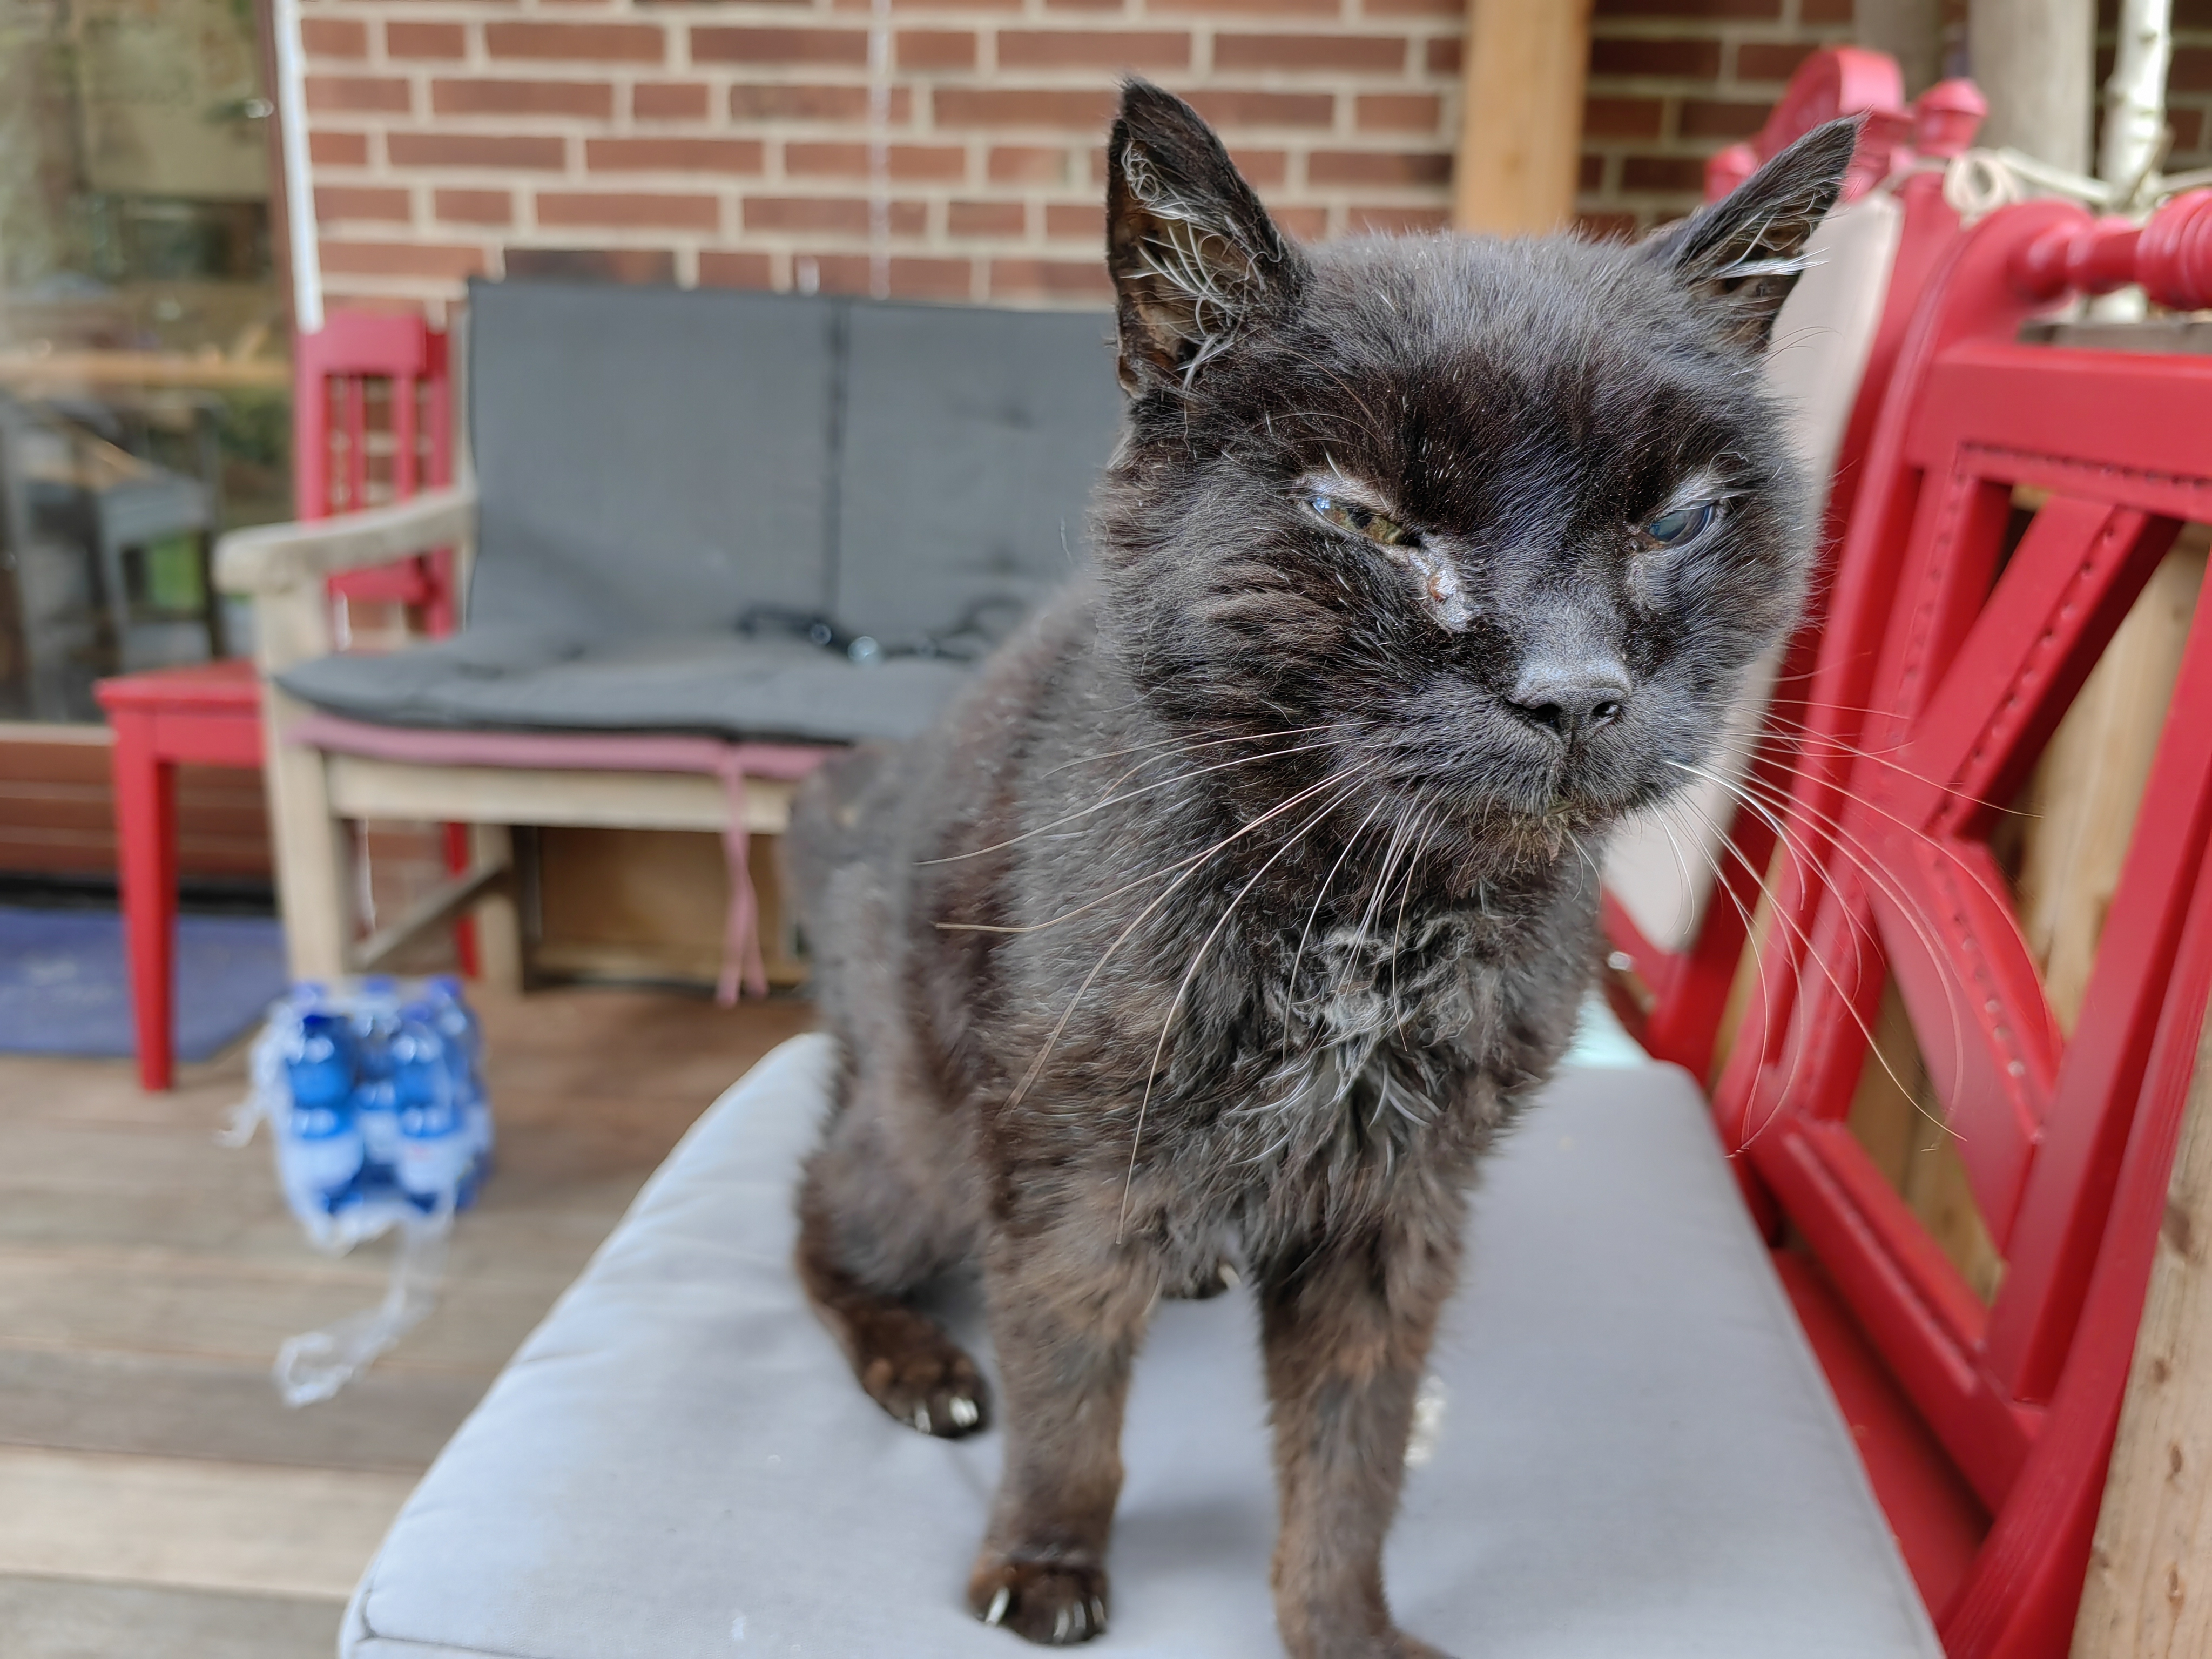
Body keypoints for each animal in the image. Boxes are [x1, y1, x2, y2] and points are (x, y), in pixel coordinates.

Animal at [789, 80, 1857, 1658]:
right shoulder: (1070, 1167)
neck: (1369, 923)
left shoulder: (1402, 1204)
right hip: (923, 1141)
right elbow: (1066, 1398)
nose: (1574, 690)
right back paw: (918, 1360)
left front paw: (1342, 1624)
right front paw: (1043, 1557)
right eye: (1360, 519)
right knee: (819, 1216)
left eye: (1674, 519)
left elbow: (1357, 1442)